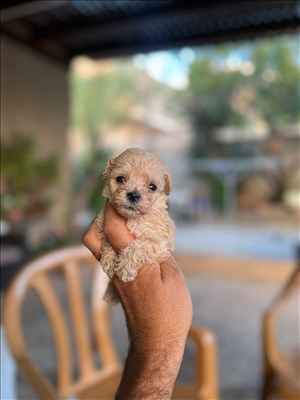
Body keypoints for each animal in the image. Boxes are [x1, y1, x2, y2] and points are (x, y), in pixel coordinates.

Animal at [95, 148, 176, 304]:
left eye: (152, 187)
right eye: (120, 179)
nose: (133, 195)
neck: (131, 218)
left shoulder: (159, 244)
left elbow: (138, 247)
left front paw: (125, 269)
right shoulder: (101, 222)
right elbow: (107, 240)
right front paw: (109, 260)